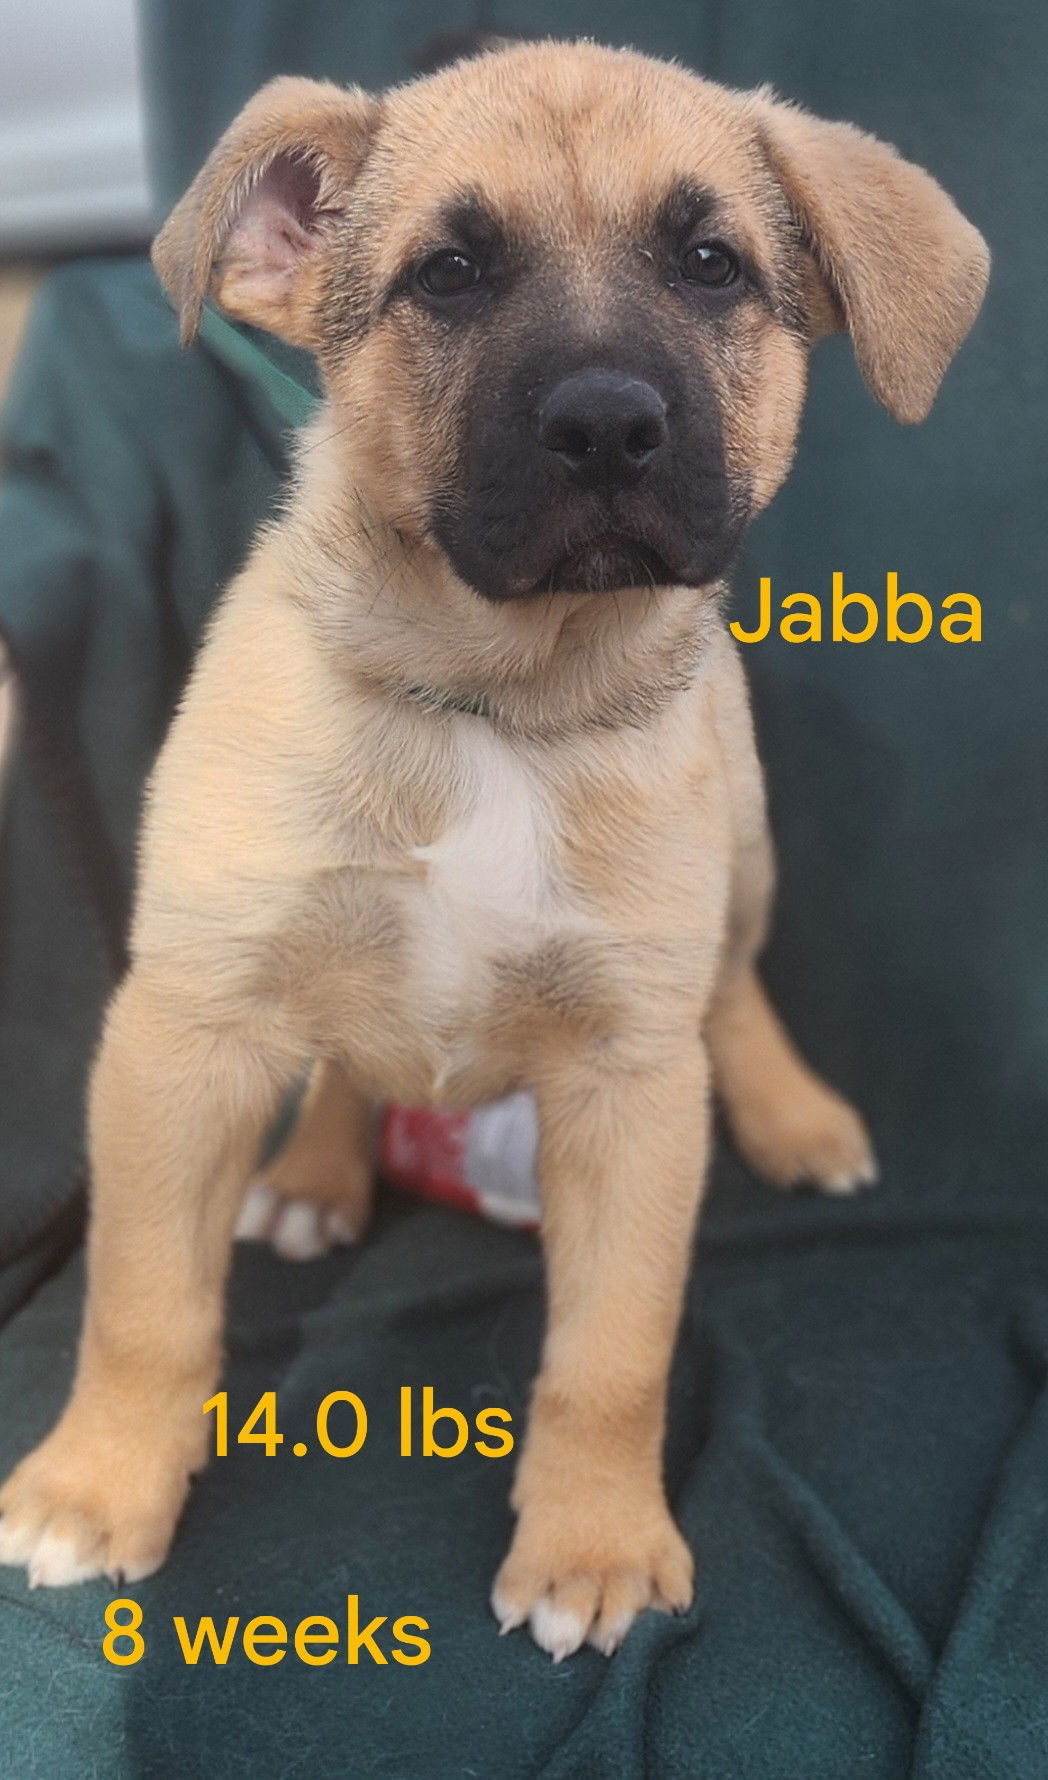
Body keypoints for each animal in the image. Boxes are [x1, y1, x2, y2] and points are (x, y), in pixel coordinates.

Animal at [0, 38, 982, 1651]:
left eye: (711, 263)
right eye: (447, 275)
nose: (605, 426)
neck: (497, 704)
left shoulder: (629, 1086)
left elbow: (613, 1352)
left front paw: (591, 1545)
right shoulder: (187, 1028)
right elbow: (143, 1305)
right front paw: (98, 1487)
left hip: (749, 861)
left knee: (734, 988)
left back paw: (793, 1116)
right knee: (344, 1062)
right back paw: (317, 1172)